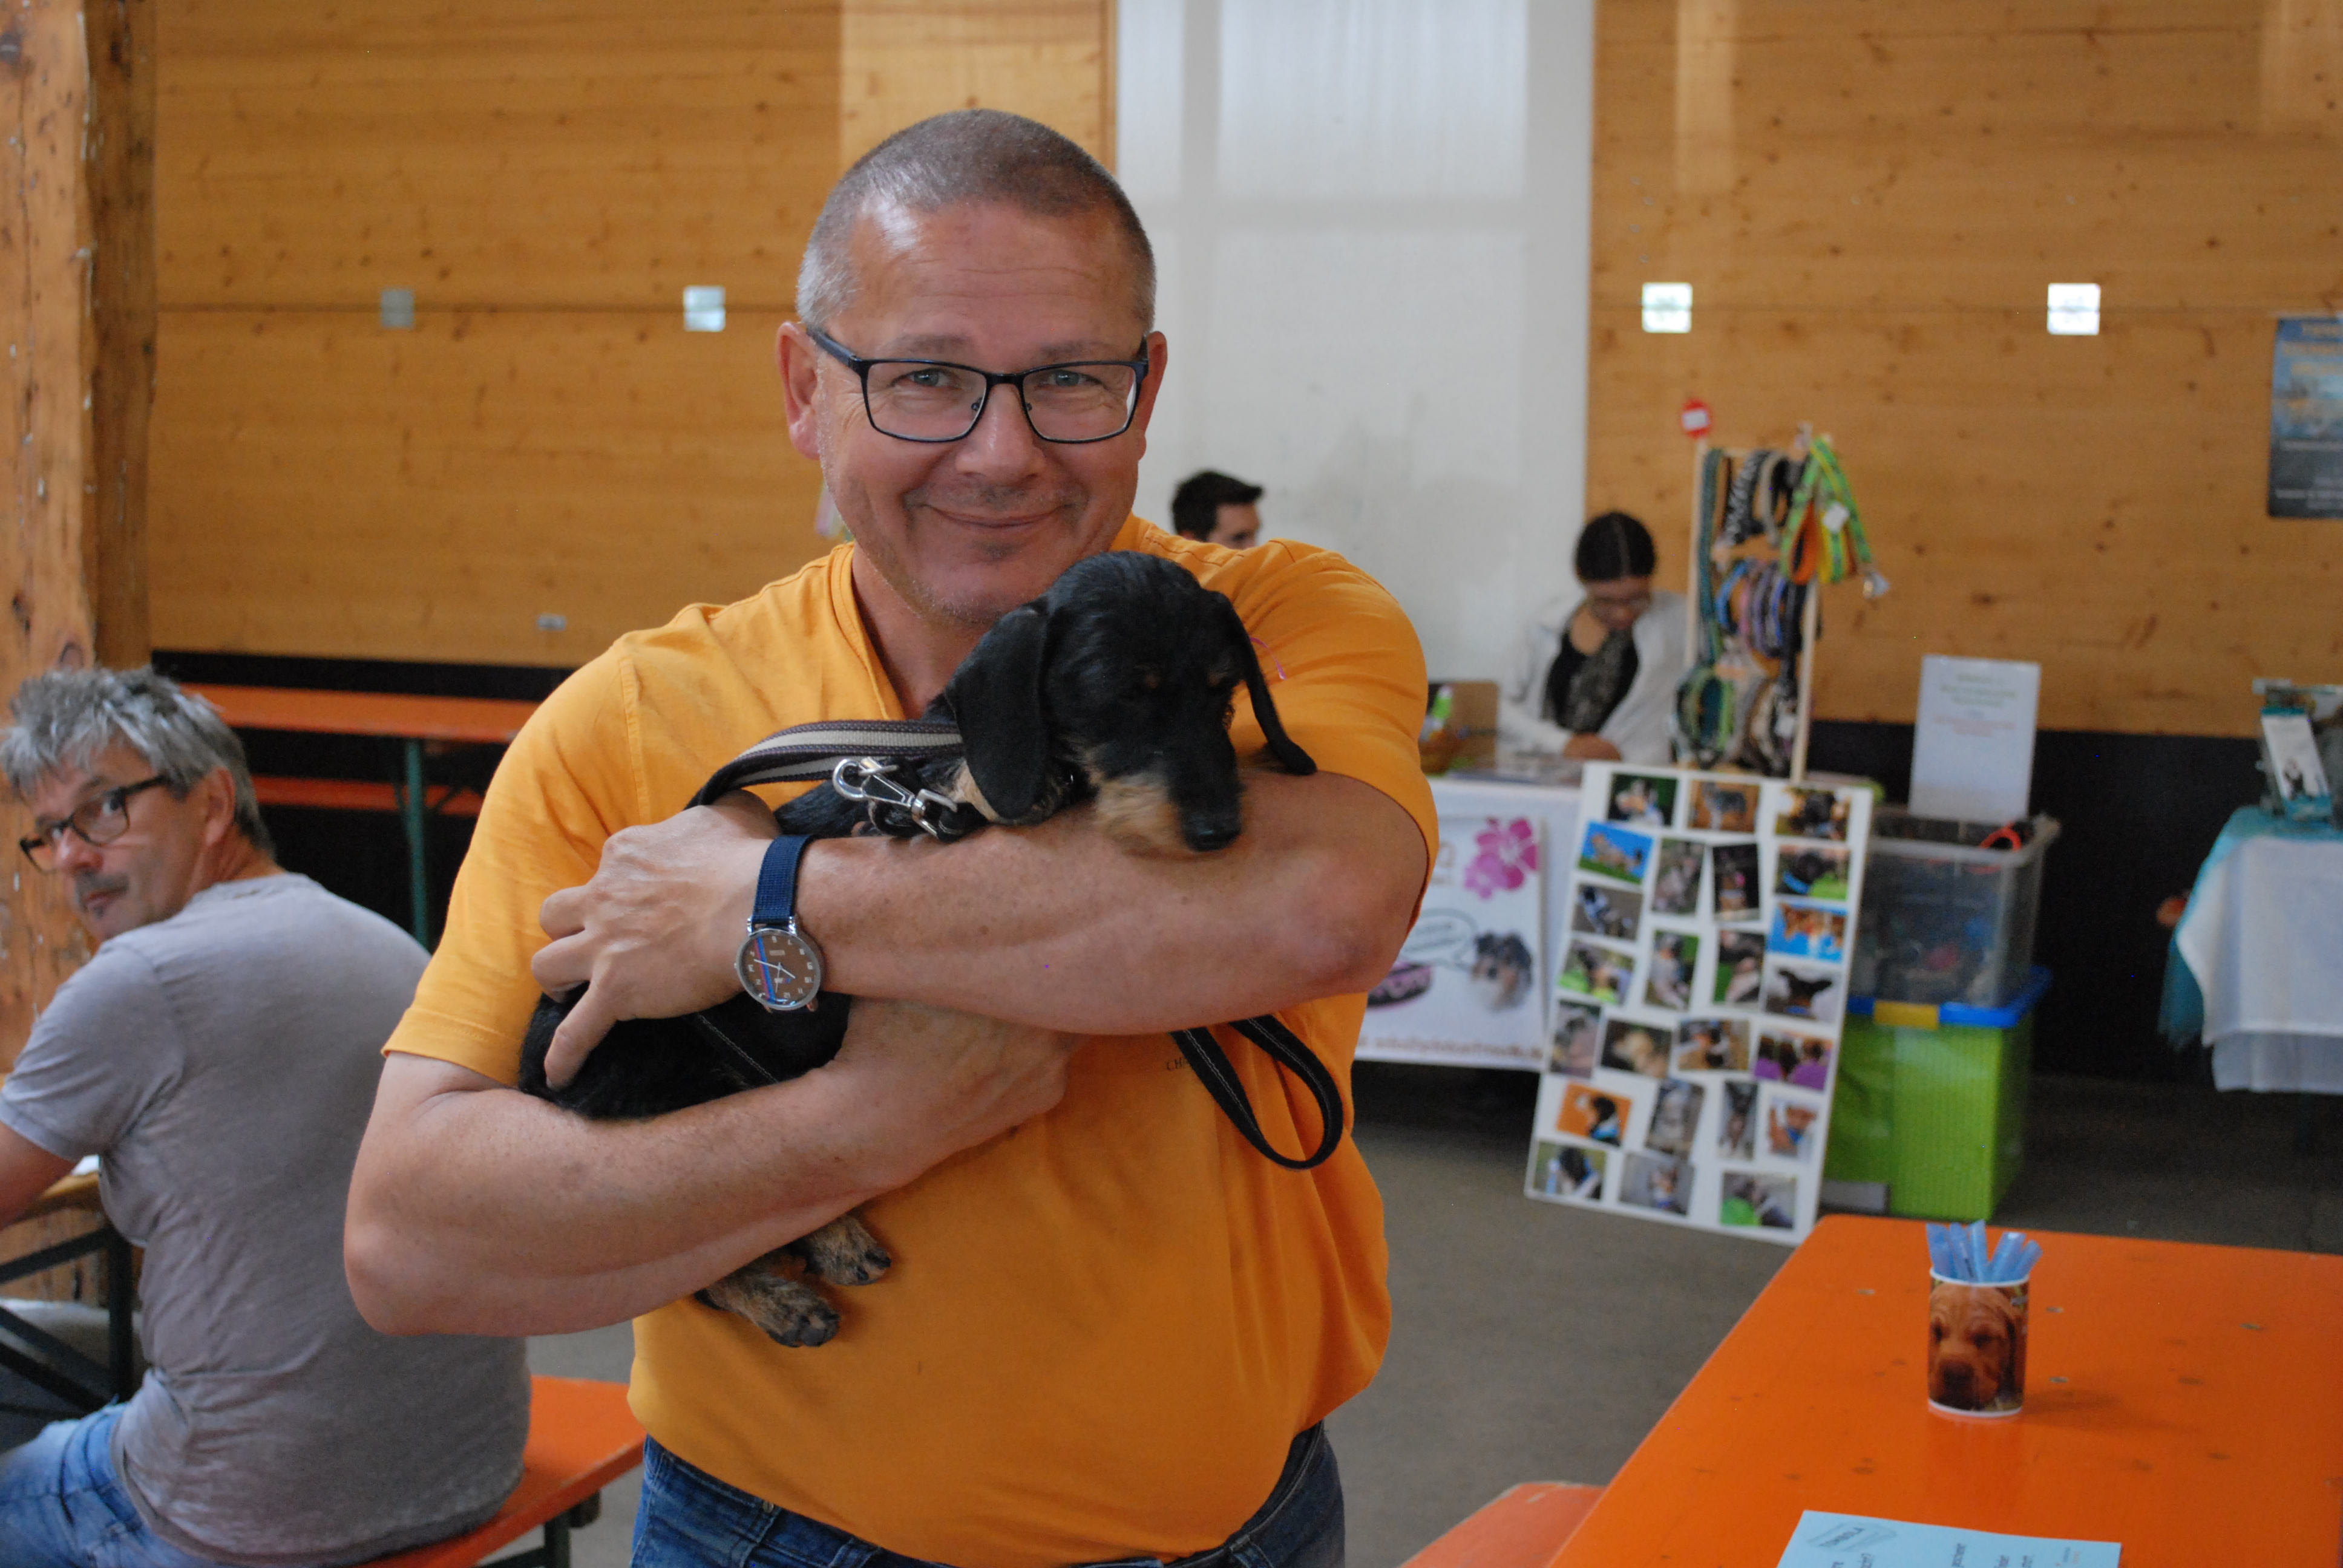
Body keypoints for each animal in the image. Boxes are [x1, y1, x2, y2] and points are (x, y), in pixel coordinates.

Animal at [520, 550, 1312, 1350]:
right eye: (1117, 695)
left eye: (1223, 693)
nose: (1218, 830)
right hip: (673, 1074)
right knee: (706, 1261)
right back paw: (797, 1284)